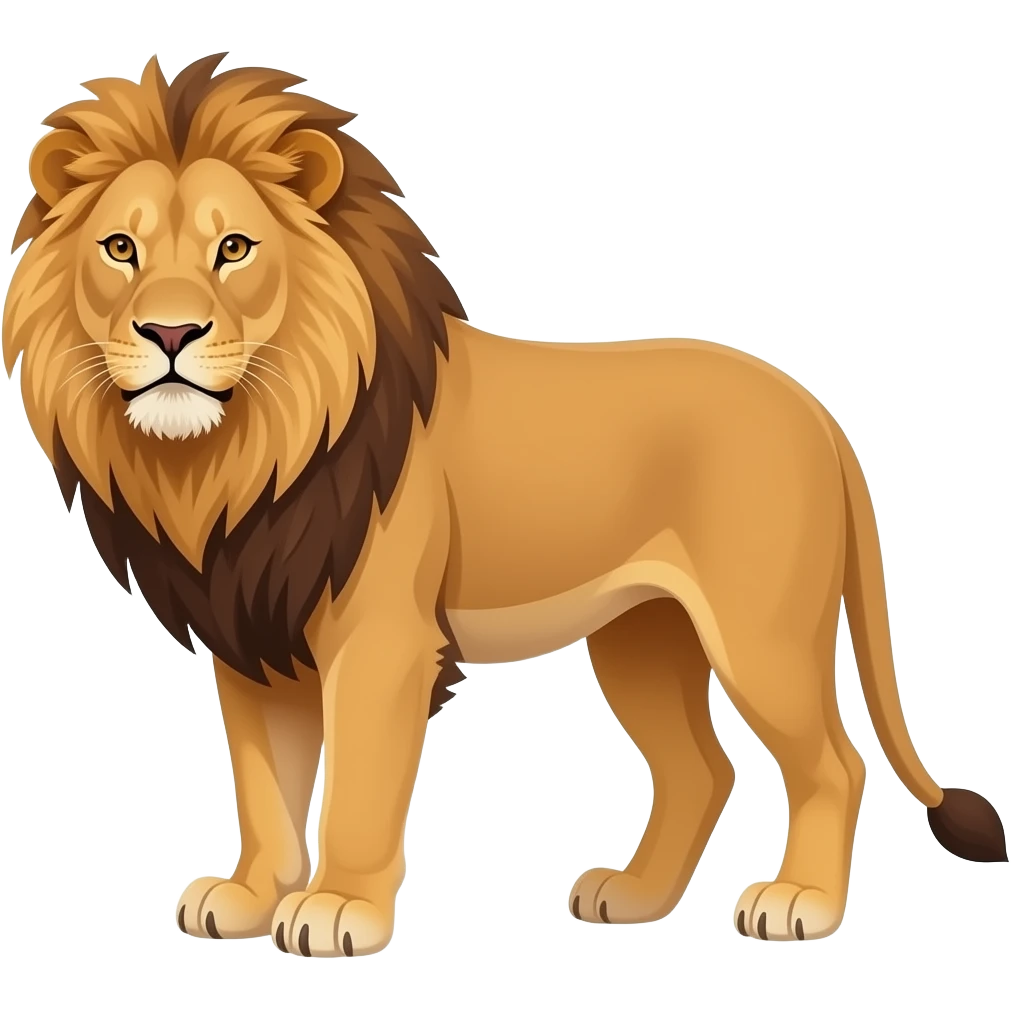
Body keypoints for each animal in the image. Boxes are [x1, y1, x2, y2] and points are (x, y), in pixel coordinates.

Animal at [3, 53, 1006, 958]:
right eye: (120, 249)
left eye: (234, 249)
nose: (169, 331)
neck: (235, 455)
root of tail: (819, 414)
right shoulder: (253, 634)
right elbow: (265, 787)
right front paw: (248, 898)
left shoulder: (381, 641)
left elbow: (358, 787)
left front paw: (339, 911)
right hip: (642, 635)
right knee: (700, 769)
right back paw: (632, 897)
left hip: (760, 632)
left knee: (833, 762)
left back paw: (799, 904)